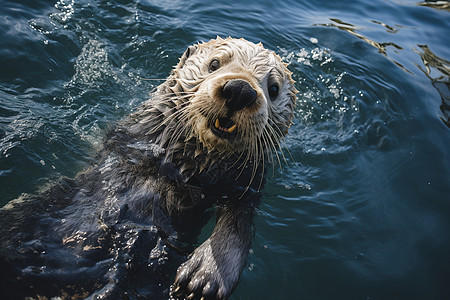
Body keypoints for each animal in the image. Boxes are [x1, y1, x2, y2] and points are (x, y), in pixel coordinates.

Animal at [0, 38, 298, 300]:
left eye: (273, 89)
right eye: (214, 64)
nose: (240, 90)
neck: (180, 168)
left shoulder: (244, 185)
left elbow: (239, 222)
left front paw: (206, 275)